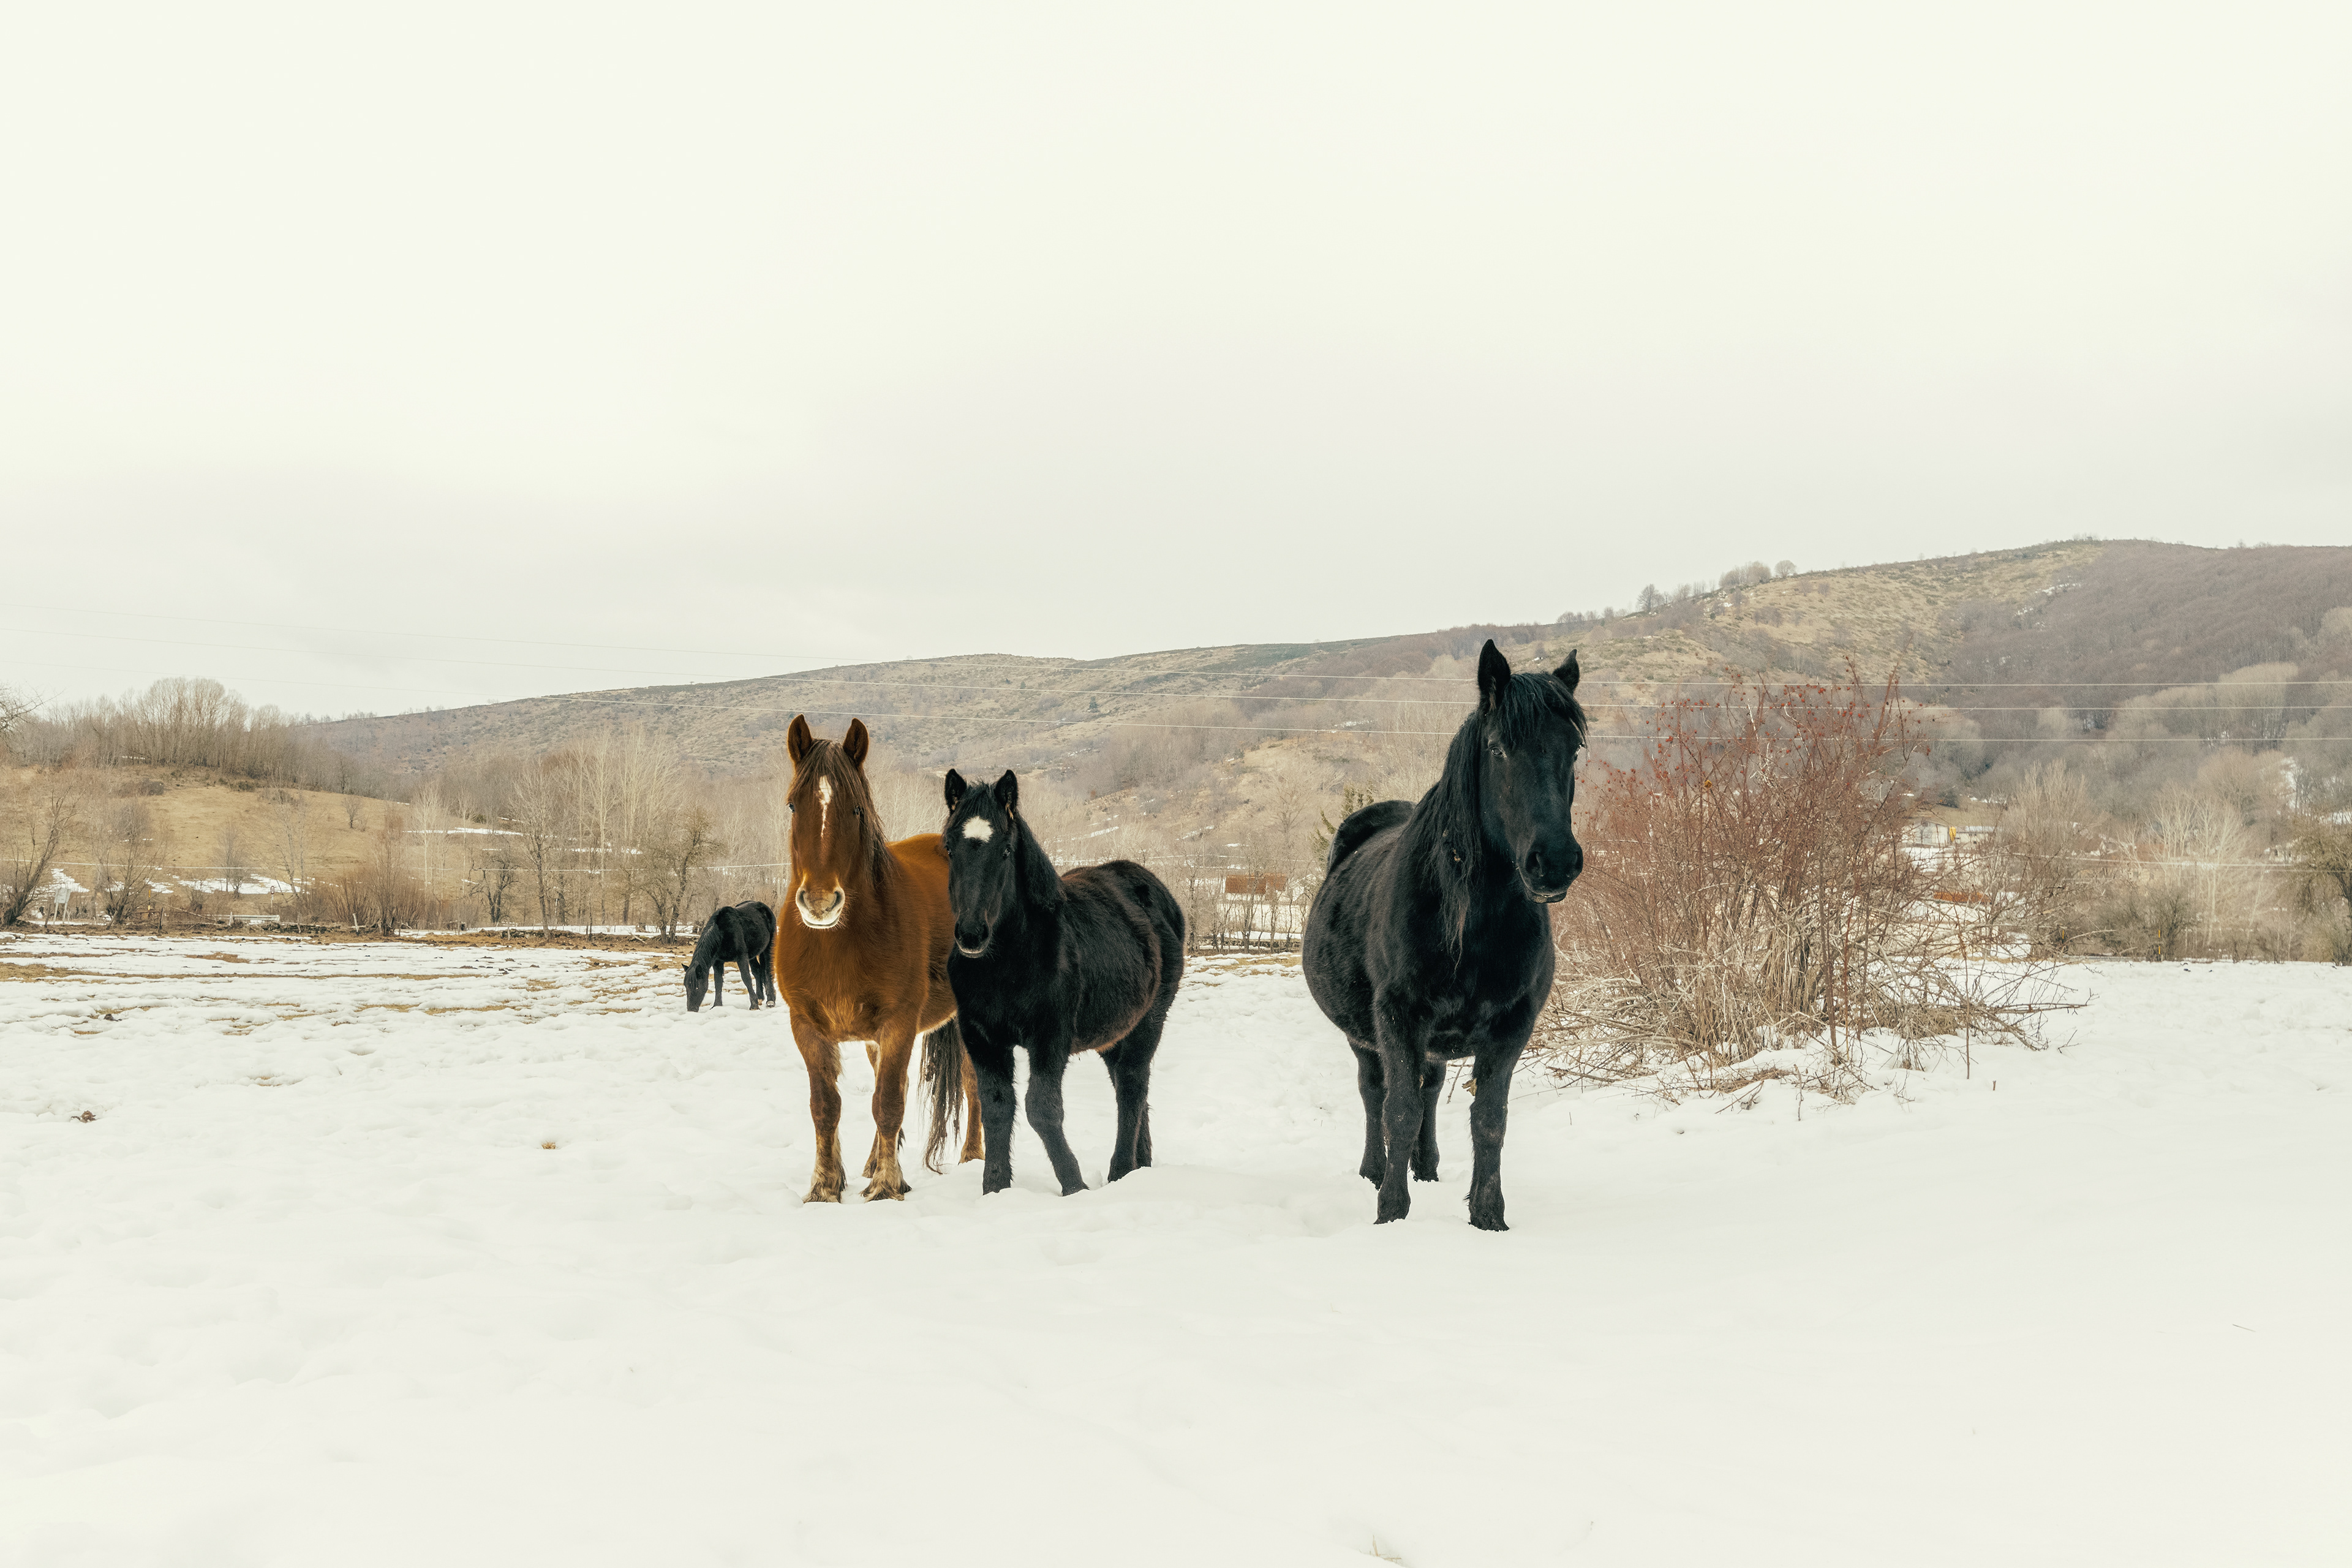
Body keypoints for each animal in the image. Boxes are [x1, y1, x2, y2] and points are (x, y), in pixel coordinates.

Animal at [683, 900, 778, 1011]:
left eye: (697, 986)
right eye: (686, 986)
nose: (691, 1009)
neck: (722, 933)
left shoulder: (741, 958)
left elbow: (746, 978)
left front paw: (754, 1006)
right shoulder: (718, 962)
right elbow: (718, 982)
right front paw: (717, 1005)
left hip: (769, 947)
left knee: (768, 971)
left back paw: (770, 1001)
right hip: (752, 955)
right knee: (757, 971)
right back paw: (760, 998)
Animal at [772, 715, 982, 1202]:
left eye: (855, 810)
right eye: (793, 807)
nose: (820, 901)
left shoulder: (900, 1023)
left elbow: (887, 1102)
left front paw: (887, 1186)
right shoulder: (807, 1026)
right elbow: (826, 1107)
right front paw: (826, 1185)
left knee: (973, 1083)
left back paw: (973, 1157)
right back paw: (871, 1162)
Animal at [941, 767, 1185, 1197]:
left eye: (1006, 851)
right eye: (950, 849)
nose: (971, 935)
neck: (1006, 964)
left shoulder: (1050, 1034)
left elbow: (1042, 1108)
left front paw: (1074, 1186)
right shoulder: (980, 1037)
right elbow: (997, 1107)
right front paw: (995, 1191)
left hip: (1149, 1022)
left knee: (1132, 1087)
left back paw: (1121, 1172)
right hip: (1113, 1035)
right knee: (1130, 1087)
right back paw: (1140, 1167)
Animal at [1302, 640, 1585, 1231]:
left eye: (1573, 750)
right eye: (1499, 749)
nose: (1555, 863)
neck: (1473, 924)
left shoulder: (1511, 1027)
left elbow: (1489, 1120)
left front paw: (1489, 1217)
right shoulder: (1397, 1019)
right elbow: (1399, 1111)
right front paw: (1391, 1213)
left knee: (1430, 1090)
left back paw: (1426, 1169)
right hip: (1365, 1036)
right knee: (1375, 1094)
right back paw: (1375, 1170)